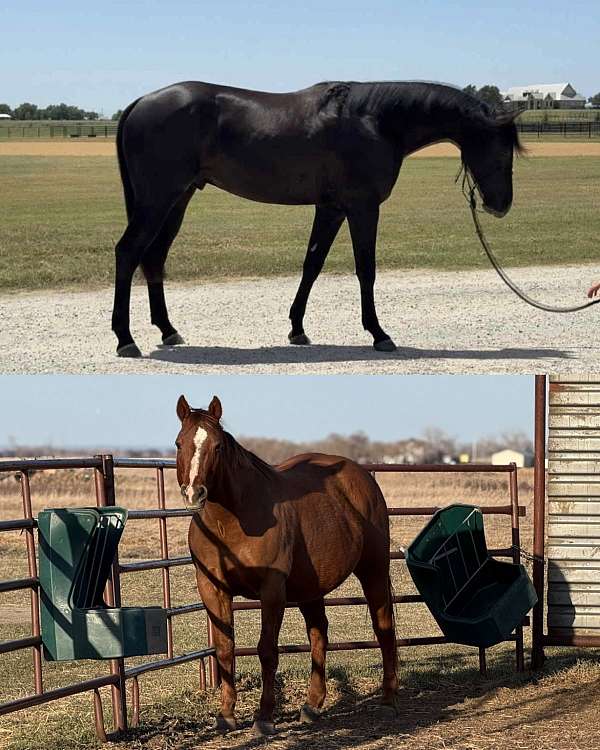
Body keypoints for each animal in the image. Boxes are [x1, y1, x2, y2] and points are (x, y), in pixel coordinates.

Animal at [113, 80, 522, 357]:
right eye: (503, 151)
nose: (500, 205)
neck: (373, 120)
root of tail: (141, 102)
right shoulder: (362, 208)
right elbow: (366, 269)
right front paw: (379, 334)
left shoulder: (331, 209)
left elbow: (312, 264)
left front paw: (297, 329)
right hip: (158, 201)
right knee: (128, 252)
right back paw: (125, 339)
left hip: (177, 200)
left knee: (154, 258)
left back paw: (168, 330)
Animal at [175, 395, 398, 736]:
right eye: (179, 443)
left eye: (218, 446)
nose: (194, 493)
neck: (232, 522)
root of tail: (360, 477)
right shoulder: (212, 588)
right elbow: (225, 648)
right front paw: (226, 715)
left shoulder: (272, 590)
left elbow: (267, 650)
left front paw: (264, 717)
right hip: (311, 588)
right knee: (319, 634)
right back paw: (312, 705)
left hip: (373, 570)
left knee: (383, 626)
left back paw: (388, 698)